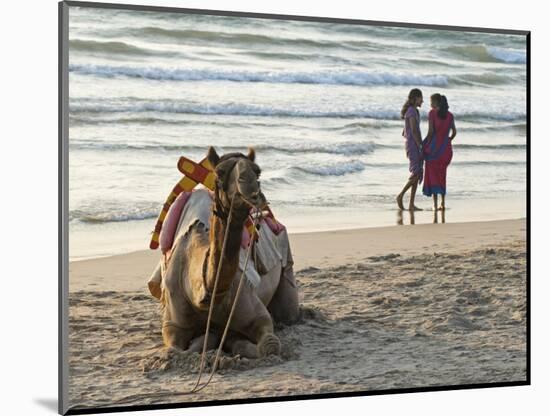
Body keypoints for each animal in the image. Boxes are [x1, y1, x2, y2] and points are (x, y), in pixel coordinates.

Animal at [149, 147, 300, 358]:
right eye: (219, 173)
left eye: (258, 171)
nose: (250, 187)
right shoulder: (173, 325)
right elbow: (175, 350)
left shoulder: (256, 314)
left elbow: (268, 345)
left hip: (287, 264)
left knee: (289, 312)